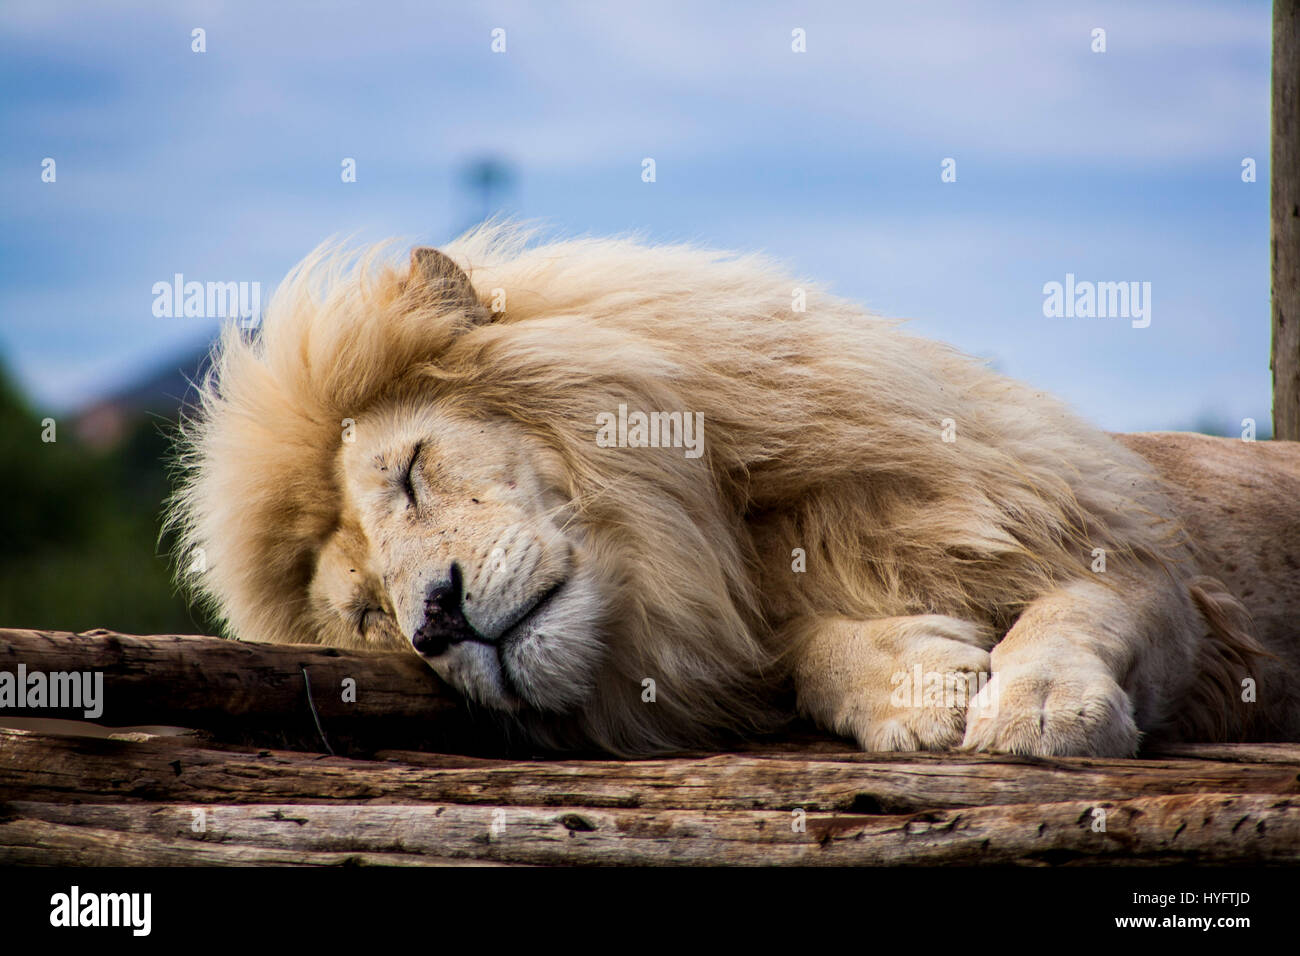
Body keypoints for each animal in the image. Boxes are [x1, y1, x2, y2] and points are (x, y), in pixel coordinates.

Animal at [167, 223, 1300, 754]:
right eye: (367, 616)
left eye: (406, 472)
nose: (436, 620)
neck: (715, 536)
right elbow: (803, 652)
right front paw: (914, 684)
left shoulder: (1150, 567)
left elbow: (1075, 612)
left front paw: (1042, 705)